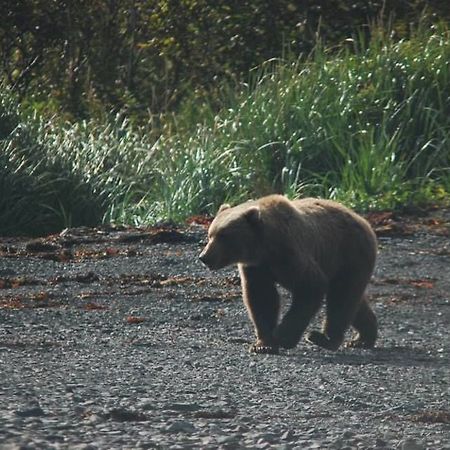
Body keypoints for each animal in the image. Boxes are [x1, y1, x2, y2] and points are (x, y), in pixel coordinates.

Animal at [199, 195, 378, 354]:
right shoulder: (257, 267)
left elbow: (311, 286)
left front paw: (282, 336)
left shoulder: (290, 254)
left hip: (349, 253)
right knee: (353, 300)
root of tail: (364, 222)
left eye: (223, 236)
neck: (264, 249)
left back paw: (324, 338)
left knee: (342, 298)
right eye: (210, 234)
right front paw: (264, 344)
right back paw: (363, 338)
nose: (204, 257)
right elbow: (261, 297)